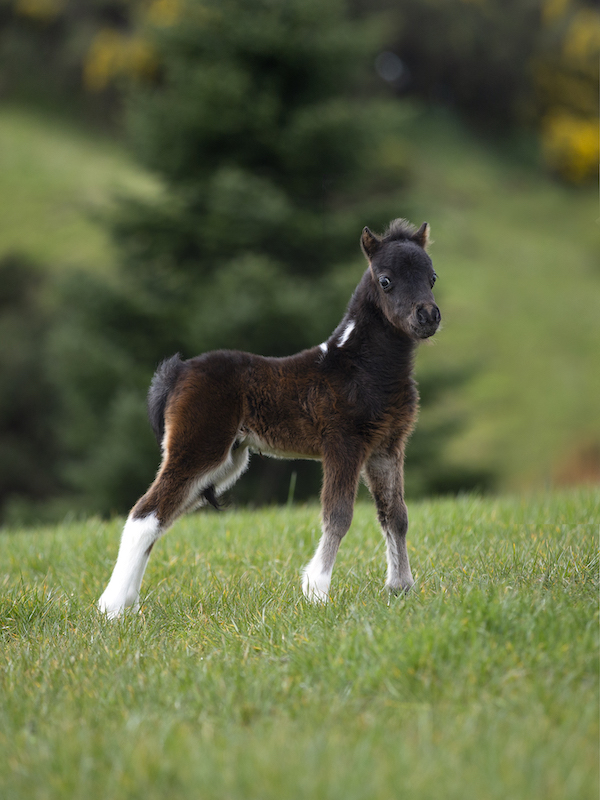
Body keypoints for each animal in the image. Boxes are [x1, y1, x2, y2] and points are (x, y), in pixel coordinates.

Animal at [98, 218, 441, 618]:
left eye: (432, 278)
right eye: (385, 280)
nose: (427, 316)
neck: (361, 366)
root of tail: (178, 371)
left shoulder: (386, 447)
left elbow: (395, 515)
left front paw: (401, 589)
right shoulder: (343, 444)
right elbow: (338, 515)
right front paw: (316, 592)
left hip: (224, 462)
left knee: (159, 518)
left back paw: (128, 604)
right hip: (199, 449)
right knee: (145, 513)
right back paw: (111, 609)